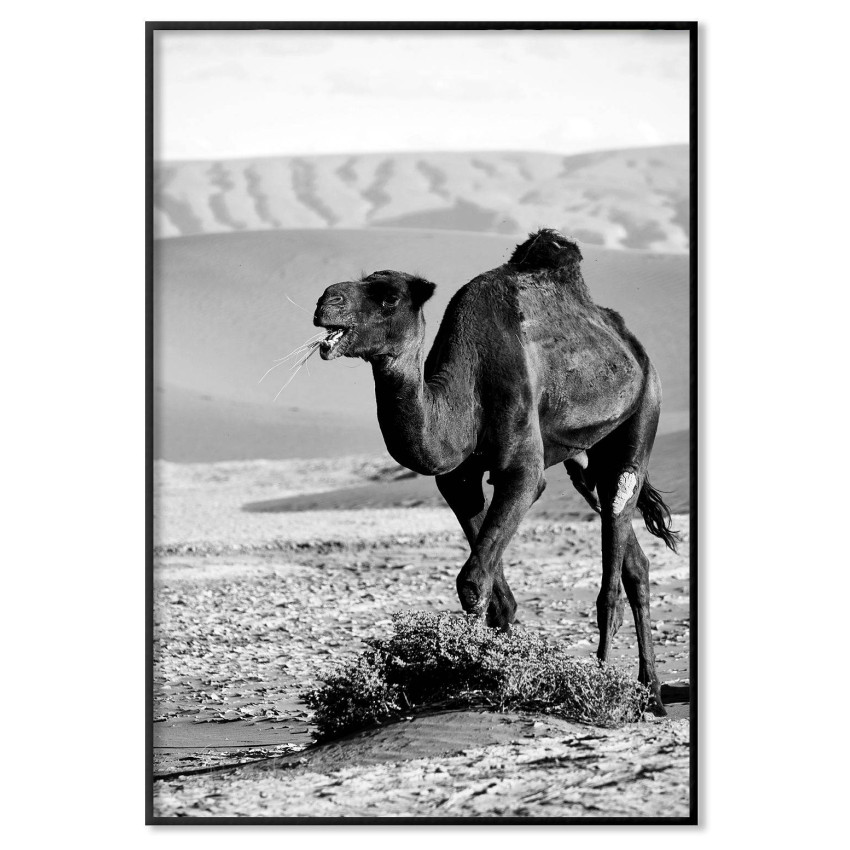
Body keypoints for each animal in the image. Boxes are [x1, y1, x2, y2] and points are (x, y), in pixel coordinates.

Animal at [312, 229, 678, 714]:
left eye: (388, 298)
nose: (325, 301)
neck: (466, 395)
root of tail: (633, 345)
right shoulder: (457, 479)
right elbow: (495, 595)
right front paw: (492, 674)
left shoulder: (522, 471)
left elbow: (472, 582)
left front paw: (484, 675)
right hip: (585, 458)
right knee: (631, 556)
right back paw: (651, 692)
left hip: (643, 411)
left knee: (613, 566)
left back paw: (609, 684)